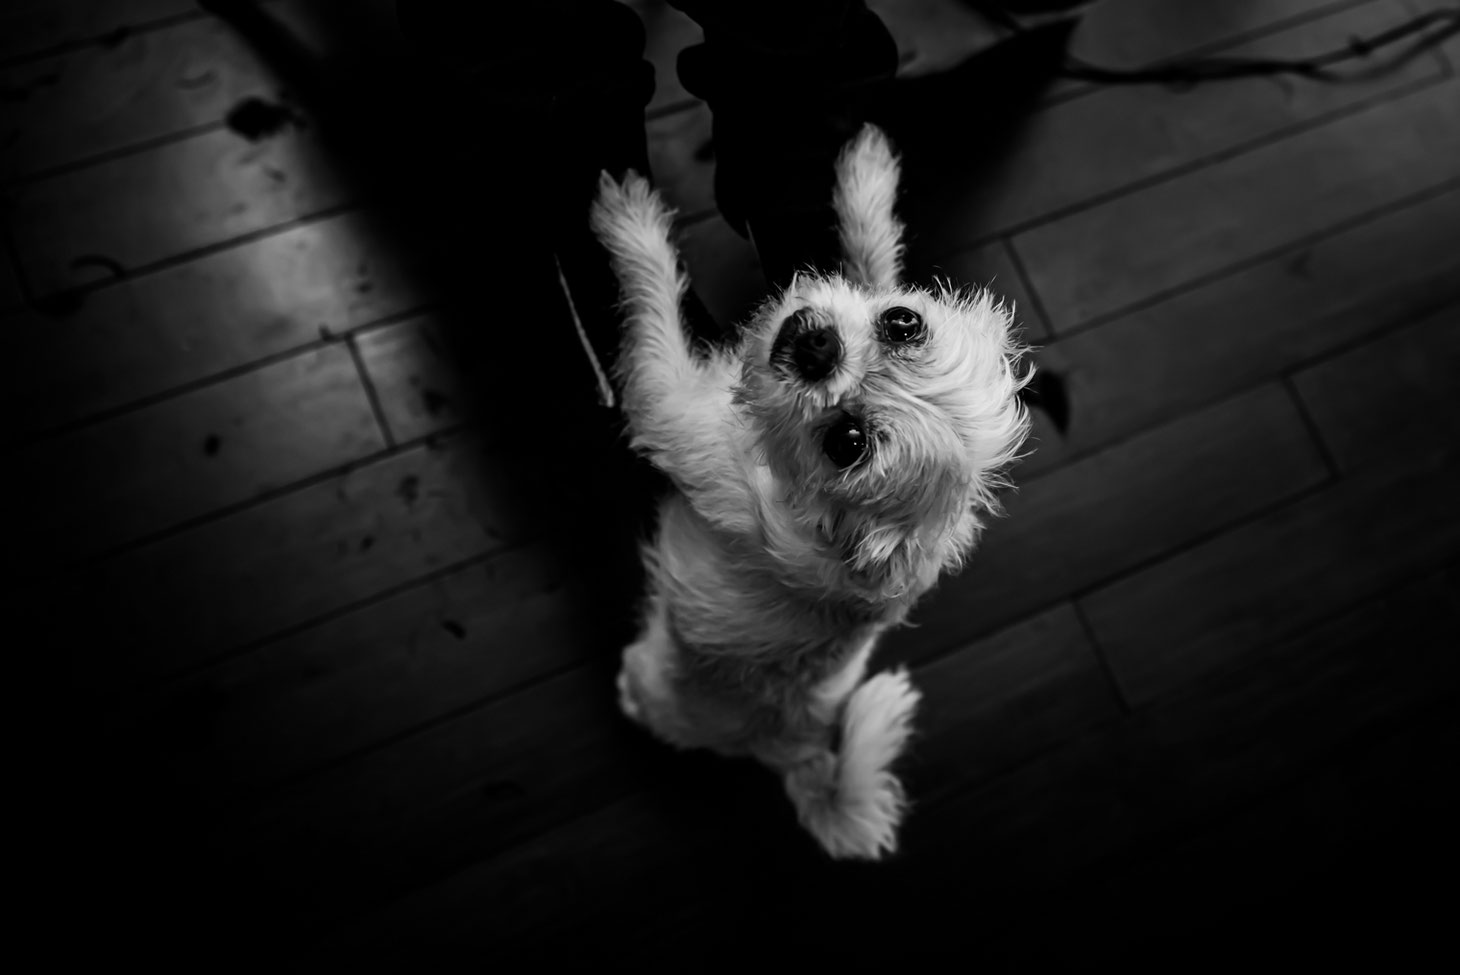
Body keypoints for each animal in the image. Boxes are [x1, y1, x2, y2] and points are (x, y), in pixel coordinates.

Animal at [586, 124, 1033, 858]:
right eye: (903, 323)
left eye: (846, 443)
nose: (820, 347)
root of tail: (788, 755)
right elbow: (872, 257)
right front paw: (866, 178)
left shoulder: (669, 406)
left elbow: (651, 301)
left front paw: (630, 221)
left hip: (656, 674)